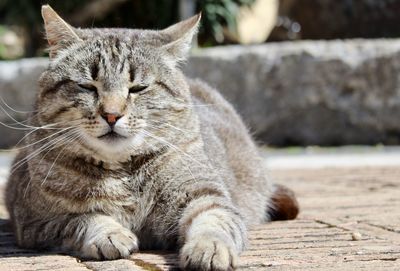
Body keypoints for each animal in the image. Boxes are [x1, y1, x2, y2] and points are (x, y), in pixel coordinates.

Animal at [4, 4, 298, 271]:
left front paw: (209, 248)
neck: (122, 172)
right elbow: (83, 219)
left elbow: (213, 221)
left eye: (138, 88)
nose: (111, 115)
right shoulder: (35, 221)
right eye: (88, 86)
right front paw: (110, 233)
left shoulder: (205, 195)